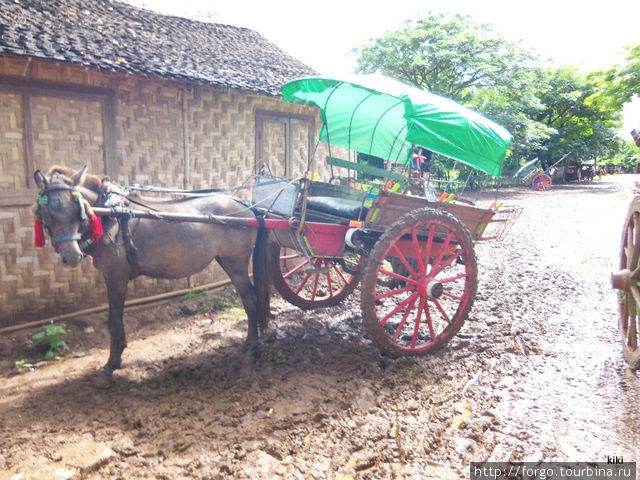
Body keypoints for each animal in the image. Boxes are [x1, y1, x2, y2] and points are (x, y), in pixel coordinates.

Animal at [33, 164, 268, 386]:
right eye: (46, 212)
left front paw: (110, 368)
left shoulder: (115, 275)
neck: (110, 214)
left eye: (78, 209)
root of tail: (250, 209)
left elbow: (114, 320)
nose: (72, 256)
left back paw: (250, 352)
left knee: (250, 299)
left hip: (235, 264)